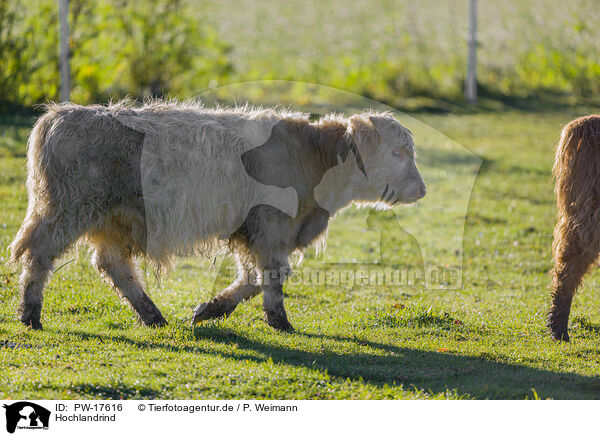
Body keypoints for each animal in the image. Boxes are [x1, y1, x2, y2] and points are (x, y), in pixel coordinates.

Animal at [11, 99, 428, 330]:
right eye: (397, 152)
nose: (421, 189)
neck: (313, 158)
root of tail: (61, 114)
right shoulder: (269, 228)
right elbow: (270, 276)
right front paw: (280, 321)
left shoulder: (255, 231)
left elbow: (253, 278)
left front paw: (210, 309)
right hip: (66, 211)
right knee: (39, 255)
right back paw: (30, 315)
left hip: (111, 220)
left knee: (115, 266)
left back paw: (153, 315)